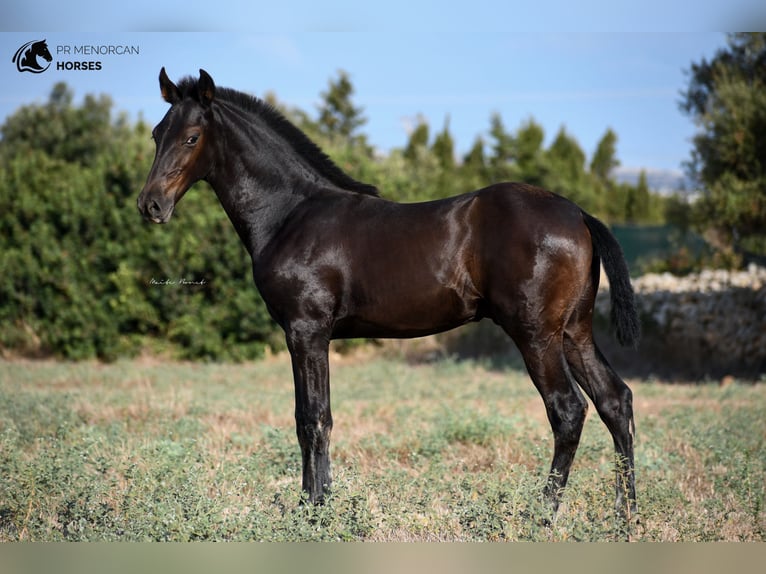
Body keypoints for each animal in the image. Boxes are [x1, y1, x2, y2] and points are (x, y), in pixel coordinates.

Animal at [136, 67, 640, 520]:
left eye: (192, 137)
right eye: (158, 133)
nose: (151, 205)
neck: (291, 213)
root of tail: (577, 213)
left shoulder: (305, 331)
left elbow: (312, 419)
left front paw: (312, 510)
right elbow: (314, 417)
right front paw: (318, 502)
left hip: (535, 334)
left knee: (568, 410)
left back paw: (543, 513)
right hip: (573, 332)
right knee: (615, 401)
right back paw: (625, 514)